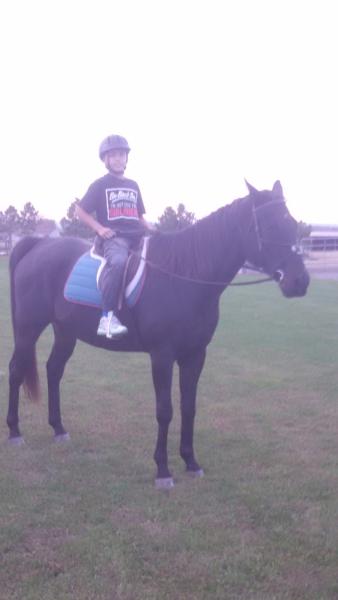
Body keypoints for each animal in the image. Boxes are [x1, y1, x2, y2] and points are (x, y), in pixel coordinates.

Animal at [6, 182, 310, 488]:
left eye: (293, 224)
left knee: (53, 370)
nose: (300, 281)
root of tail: (38, 245)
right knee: (16, 370)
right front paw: (163, 470)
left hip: (65, 331)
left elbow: (189, 406)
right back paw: (14, 432)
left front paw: (191, 461)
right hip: (28, 328)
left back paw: (58, 428)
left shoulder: (195, 355)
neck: (183, 274)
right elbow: (165, 410)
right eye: (270, 226)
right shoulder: (162, 356)